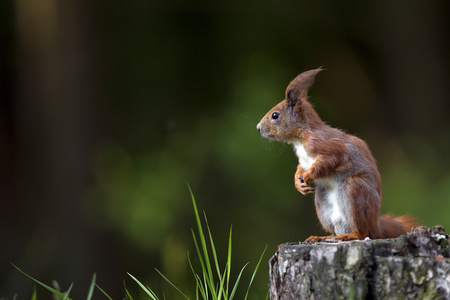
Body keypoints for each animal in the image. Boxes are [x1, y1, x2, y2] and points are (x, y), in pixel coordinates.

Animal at [255, 67, 416, 241]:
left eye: (275, 115)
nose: (258, 128)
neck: (300, 139)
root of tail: (376, 224)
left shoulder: (327, 146)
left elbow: (331, 160)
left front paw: (308, 176)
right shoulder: (303, 160)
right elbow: (299, 168)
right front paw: (299, 183)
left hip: (355, 188)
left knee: (362, 232)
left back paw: (350, 235)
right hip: (322, 201)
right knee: (333, 231)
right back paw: (322, 237)